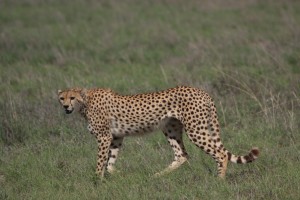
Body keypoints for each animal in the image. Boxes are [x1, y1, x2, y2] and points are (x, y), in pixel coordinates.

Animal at [58, 86, 258, 178]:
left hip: (195, 129)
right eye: (62, 98)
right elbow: (110, 162)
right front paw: (117, 175)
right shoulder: (116, 137)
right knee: (182, 155)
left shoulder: (104, 137)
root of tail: (201, 91)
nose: (66, 107)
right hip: (171, 129)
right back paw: (155, 176)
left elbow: (101, 162)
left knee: (220, 154)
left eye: (72, 97)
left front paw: (96, 181)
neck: (85, 101)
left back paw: (219, 179)